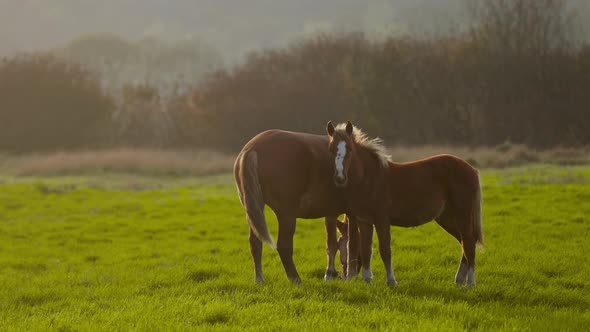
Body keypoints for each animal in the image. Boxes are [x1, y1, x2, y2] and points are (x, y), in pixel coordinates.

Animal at [234, 129, 352, 282]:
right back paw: (295, 278)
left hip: (255, 210)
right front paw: (330, 273)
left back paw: (259, 279)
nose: (345, 275)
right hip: (286, 216)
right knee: (283, 246)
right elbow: (332, 244)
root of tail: (252, 148)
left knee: (255, 243)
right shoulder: (333, 213)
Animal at [326, 120, 484, 286]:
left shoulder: (382, 220)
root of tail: (471, 169)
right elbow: (366, 250)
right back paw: (459, 280)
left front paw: (391, 281)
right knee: (464, 242)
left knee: (469, 243)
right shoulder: (364, 221)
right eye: (331, 149)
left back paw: (470, 283)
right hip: (447, 218)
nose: (339, 178)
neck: (369, 178)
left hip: (462, 215)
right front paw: (367, 279)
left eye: (349, 149)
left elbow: (385, 249)